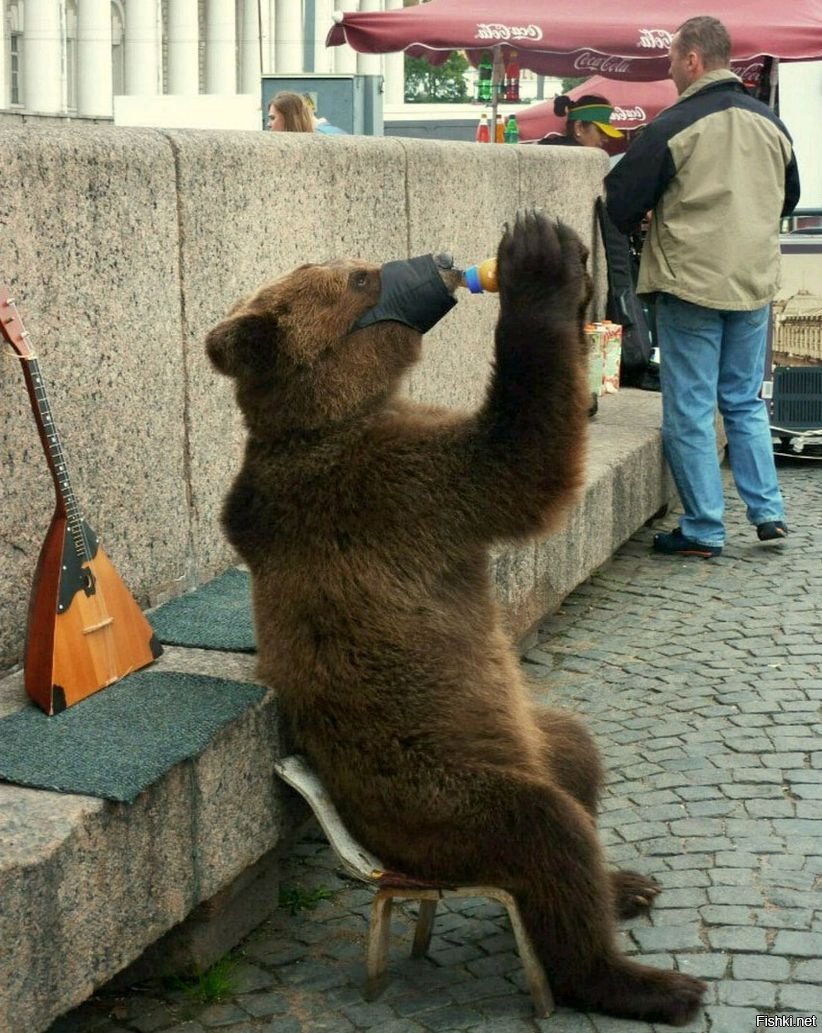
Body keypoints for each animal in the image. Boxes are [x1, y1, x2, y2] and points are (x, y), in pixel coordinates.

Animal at [205, 212, 706, 1026]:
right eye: (360, 277)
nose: (439, 262)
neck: (333, 418)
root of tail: (393, 864)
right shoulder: (394, 489)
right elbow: (519, 461)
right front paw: (537, 257)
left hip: (521, 737)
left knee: (577, 758)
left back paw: (623, 881)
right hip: (437, 799)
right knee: (544, 835)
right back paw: (642, 980)